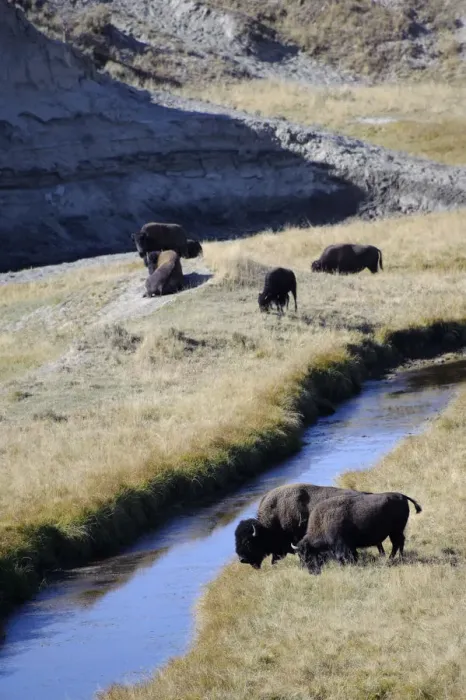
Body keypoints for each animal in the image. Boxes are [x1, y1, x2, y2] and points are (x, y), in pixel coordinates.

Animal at [292, 491, 422, 574]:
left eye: (307, 554)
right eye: (299, 555)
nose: (311, 572)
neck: (324, 521)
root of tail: (402, 496)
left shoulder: (341, 546)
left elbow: (342, 558)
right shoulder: (350, 546)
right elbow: (353, 556)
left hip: (396, 531)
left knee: (398, 543)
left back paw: (396, 558)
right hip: (395, 531)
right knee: (398, 542)